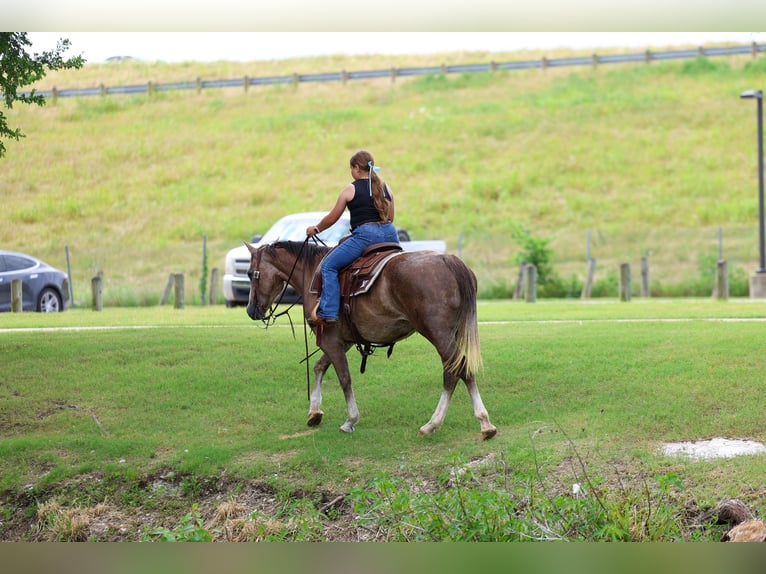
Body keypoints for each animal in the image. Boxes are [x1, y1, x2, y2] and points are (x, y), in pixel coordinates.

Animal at [244, 240, 497, 440]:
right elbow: (319, 367)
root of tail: (448, 259)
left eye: (249, 273)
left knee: (457, 370)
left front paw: (350, 420)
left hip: (438, 334)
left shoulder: (330, 341)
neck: (314, 272)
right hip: (451, 333)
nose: (250, 310)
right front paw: (314, 412)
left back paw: (462, 423)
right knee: (458, 371)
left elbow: (344, 378)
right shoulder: (342, 341)